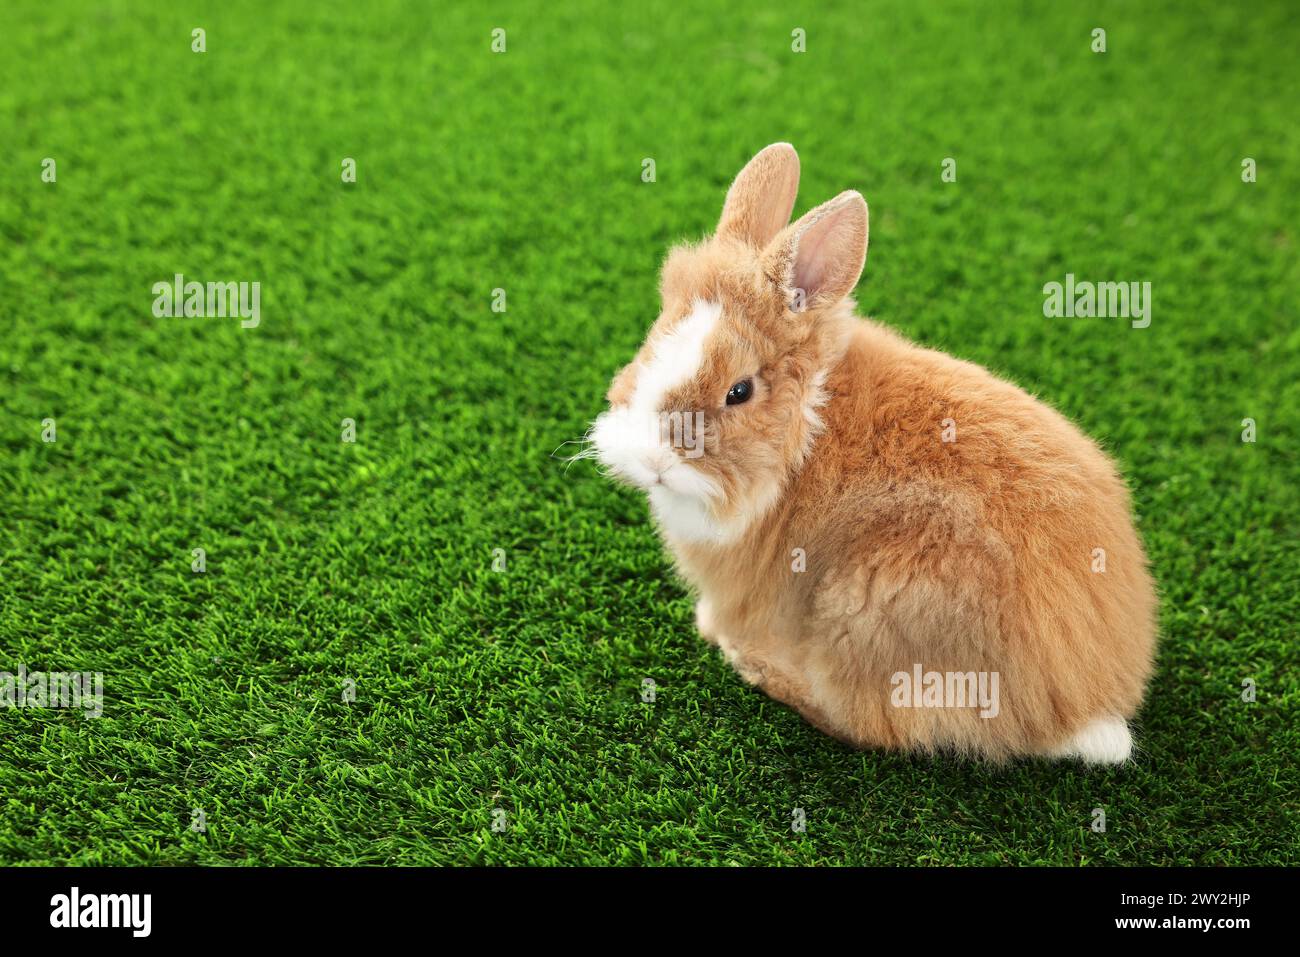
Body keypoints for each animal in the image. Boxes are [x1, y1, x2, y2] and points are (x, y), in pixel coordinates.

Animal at [590, 143, 1159, 764]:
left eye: (738, 391)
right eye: (651, 342)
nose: (649, 459)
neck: (804, 430)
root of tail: (1082, 706)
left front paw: (711, 628)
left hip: (866, 613)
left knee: (867, 723)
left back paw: (760, 667)